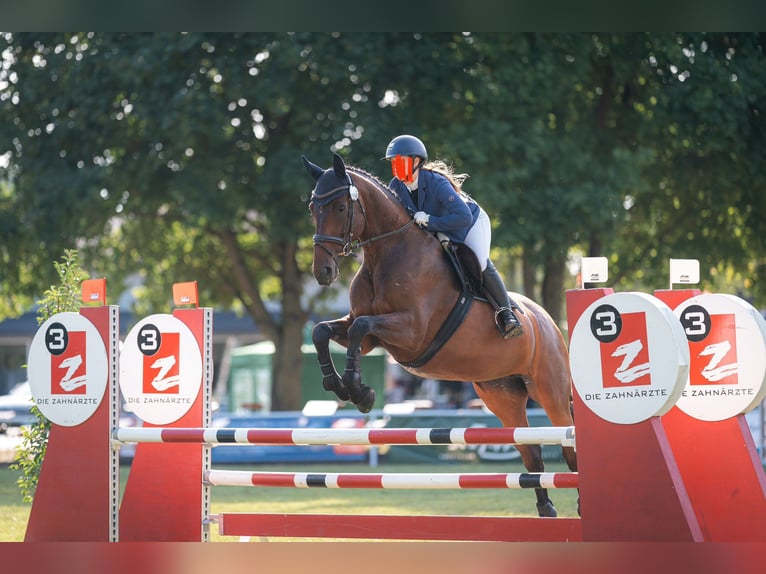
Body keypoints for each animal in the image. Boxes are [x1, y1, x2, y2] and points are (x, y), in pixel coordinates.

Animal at [304, 152, 580, 516]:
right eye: (312, 207)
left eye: (338, 207)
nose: (323, 272)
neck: (386, 253)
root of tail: (547, 320)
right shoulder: (371, 336)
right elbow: (323, 331)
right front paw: (341, 386)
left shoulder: (411, 331)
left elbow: (360, 328)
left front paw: (358, 389)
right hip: (501, 394)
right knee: (531, 451)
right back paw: (547, 510)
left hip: (549, 388)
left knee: (568, 443)